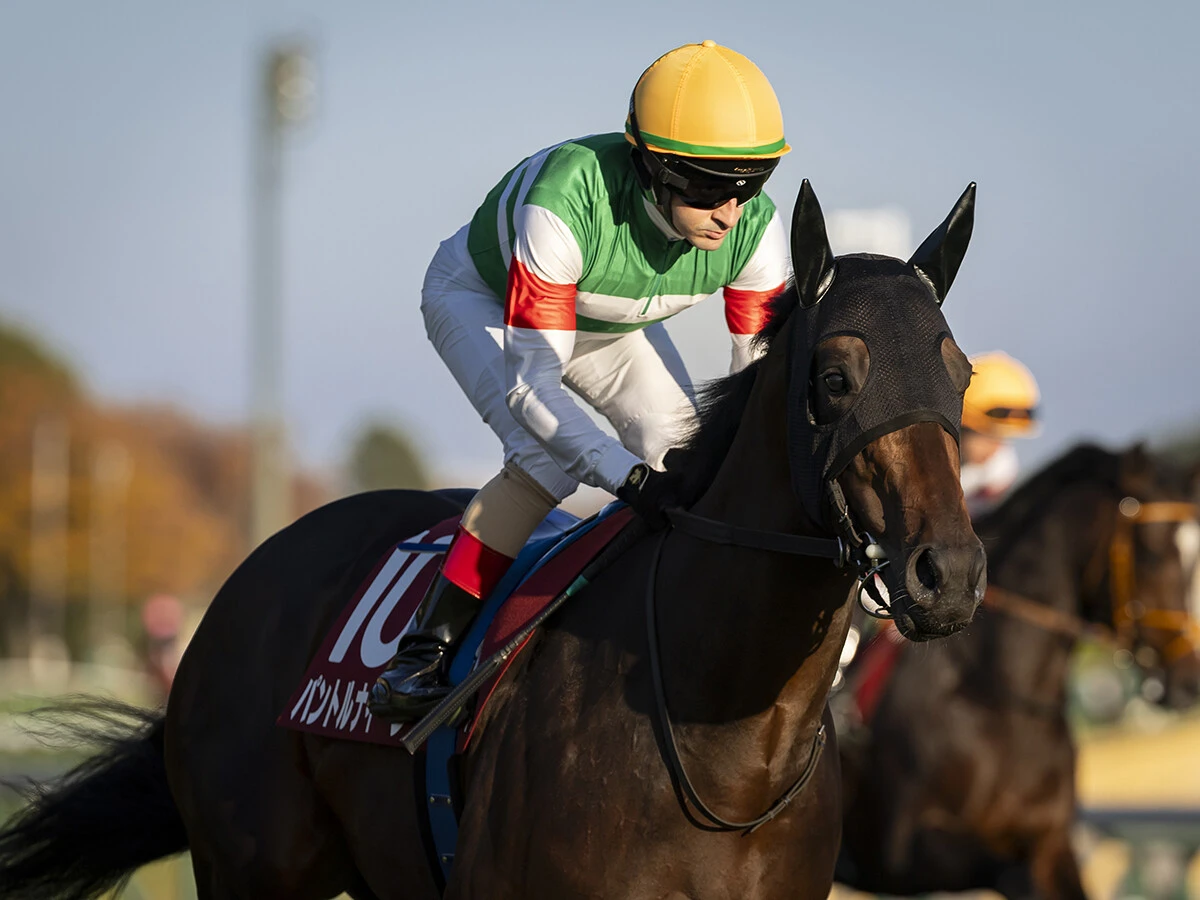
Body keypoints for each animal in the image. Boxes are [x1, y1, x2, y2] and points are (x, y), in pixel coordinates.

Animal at [0, 179, 986, 900]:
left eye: (962, 372)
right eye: (835, 376)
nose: (948, 572)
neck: (731, 750)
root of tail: (255, 573)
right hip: (252, 870)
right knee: (535, 448)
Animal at [836, 443, 1200, 900]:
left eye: (1195, 555)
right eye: (1152, 553)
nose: (1187, 680)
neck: (999, 695)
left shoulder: (1051, 841)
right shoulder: (901, 853)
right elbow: (1009, 871)